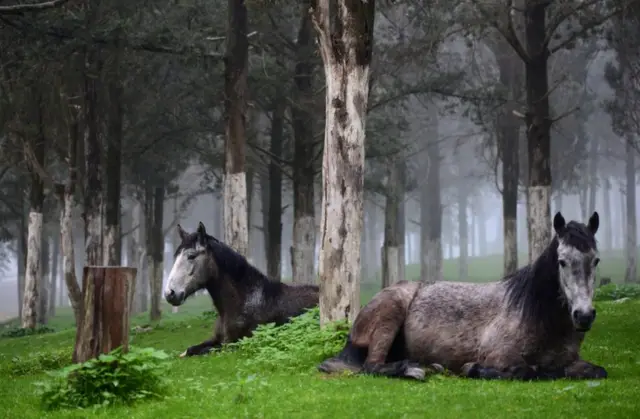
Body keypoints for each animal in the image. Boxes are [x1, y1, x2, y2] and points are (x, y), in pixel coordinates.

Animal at [164, 222, 319, 357]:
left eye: (191, 256)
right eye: (176, 256)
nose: (169, 293)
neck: (244, 300)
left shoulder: (232, 345)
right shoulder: (215, 339)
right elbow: (189, 350)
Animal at [318, 211, 608, 381]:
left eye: (595, 260)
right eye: (562, 261)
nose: (584, 315)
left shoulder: (573, 361)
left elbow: (597, 371)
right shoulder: (501, 357)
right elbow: (526, 371)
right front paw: (473, 369)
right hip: (391, 312)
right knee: (373, 366)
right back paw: (413, 369)